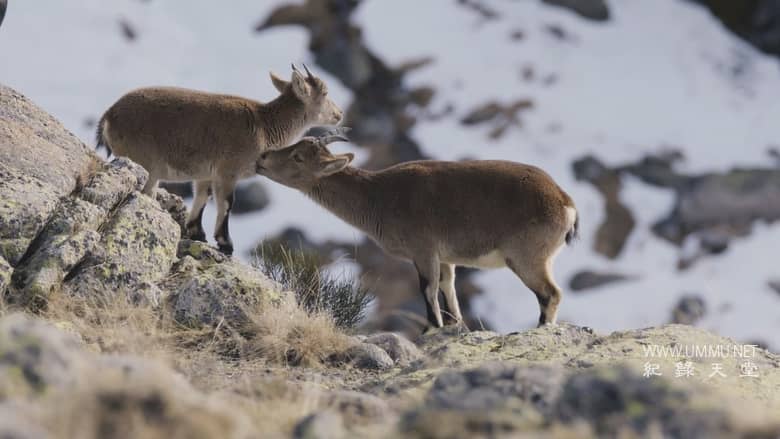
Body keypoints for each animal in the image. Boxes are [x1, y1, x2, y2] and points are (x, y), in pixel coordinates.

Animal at [95, 65, 343, 255]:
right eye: (325, 92)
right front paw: (226, 244)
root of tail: (109, 115)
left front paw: (197, 233)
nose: (339, 114)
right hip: (145, 166)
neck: (263, 125)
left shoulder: (206, 174)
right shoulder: (228, 172)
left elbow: (203, 197)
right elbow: (226, 203)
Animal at [255, 131, 579, 330]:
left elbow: (427, 288)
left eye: (298, 157)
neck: (378, 198)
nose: (261, 158)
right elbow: (448, 288)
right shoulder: (445, 257)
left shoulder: (424, 251)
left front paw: (430, 329)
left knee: (551, 294)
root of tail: (564, 201)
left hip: (527, 258)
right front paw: (453, 326)